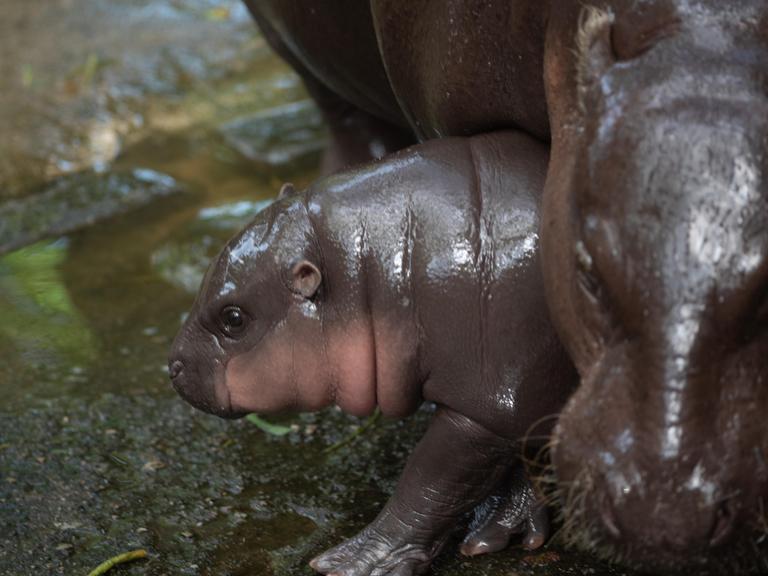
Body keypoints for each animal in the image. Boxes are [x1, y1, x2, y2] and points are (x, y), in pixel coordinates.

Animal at [168, 132, 576, 576]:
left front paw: (355, 562)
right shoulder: (519, 396)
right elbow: (522, 453)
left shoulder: (490, 399)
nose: (172, 364)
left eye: (234, 318)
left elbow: (430, 482)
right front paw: (497, 528)